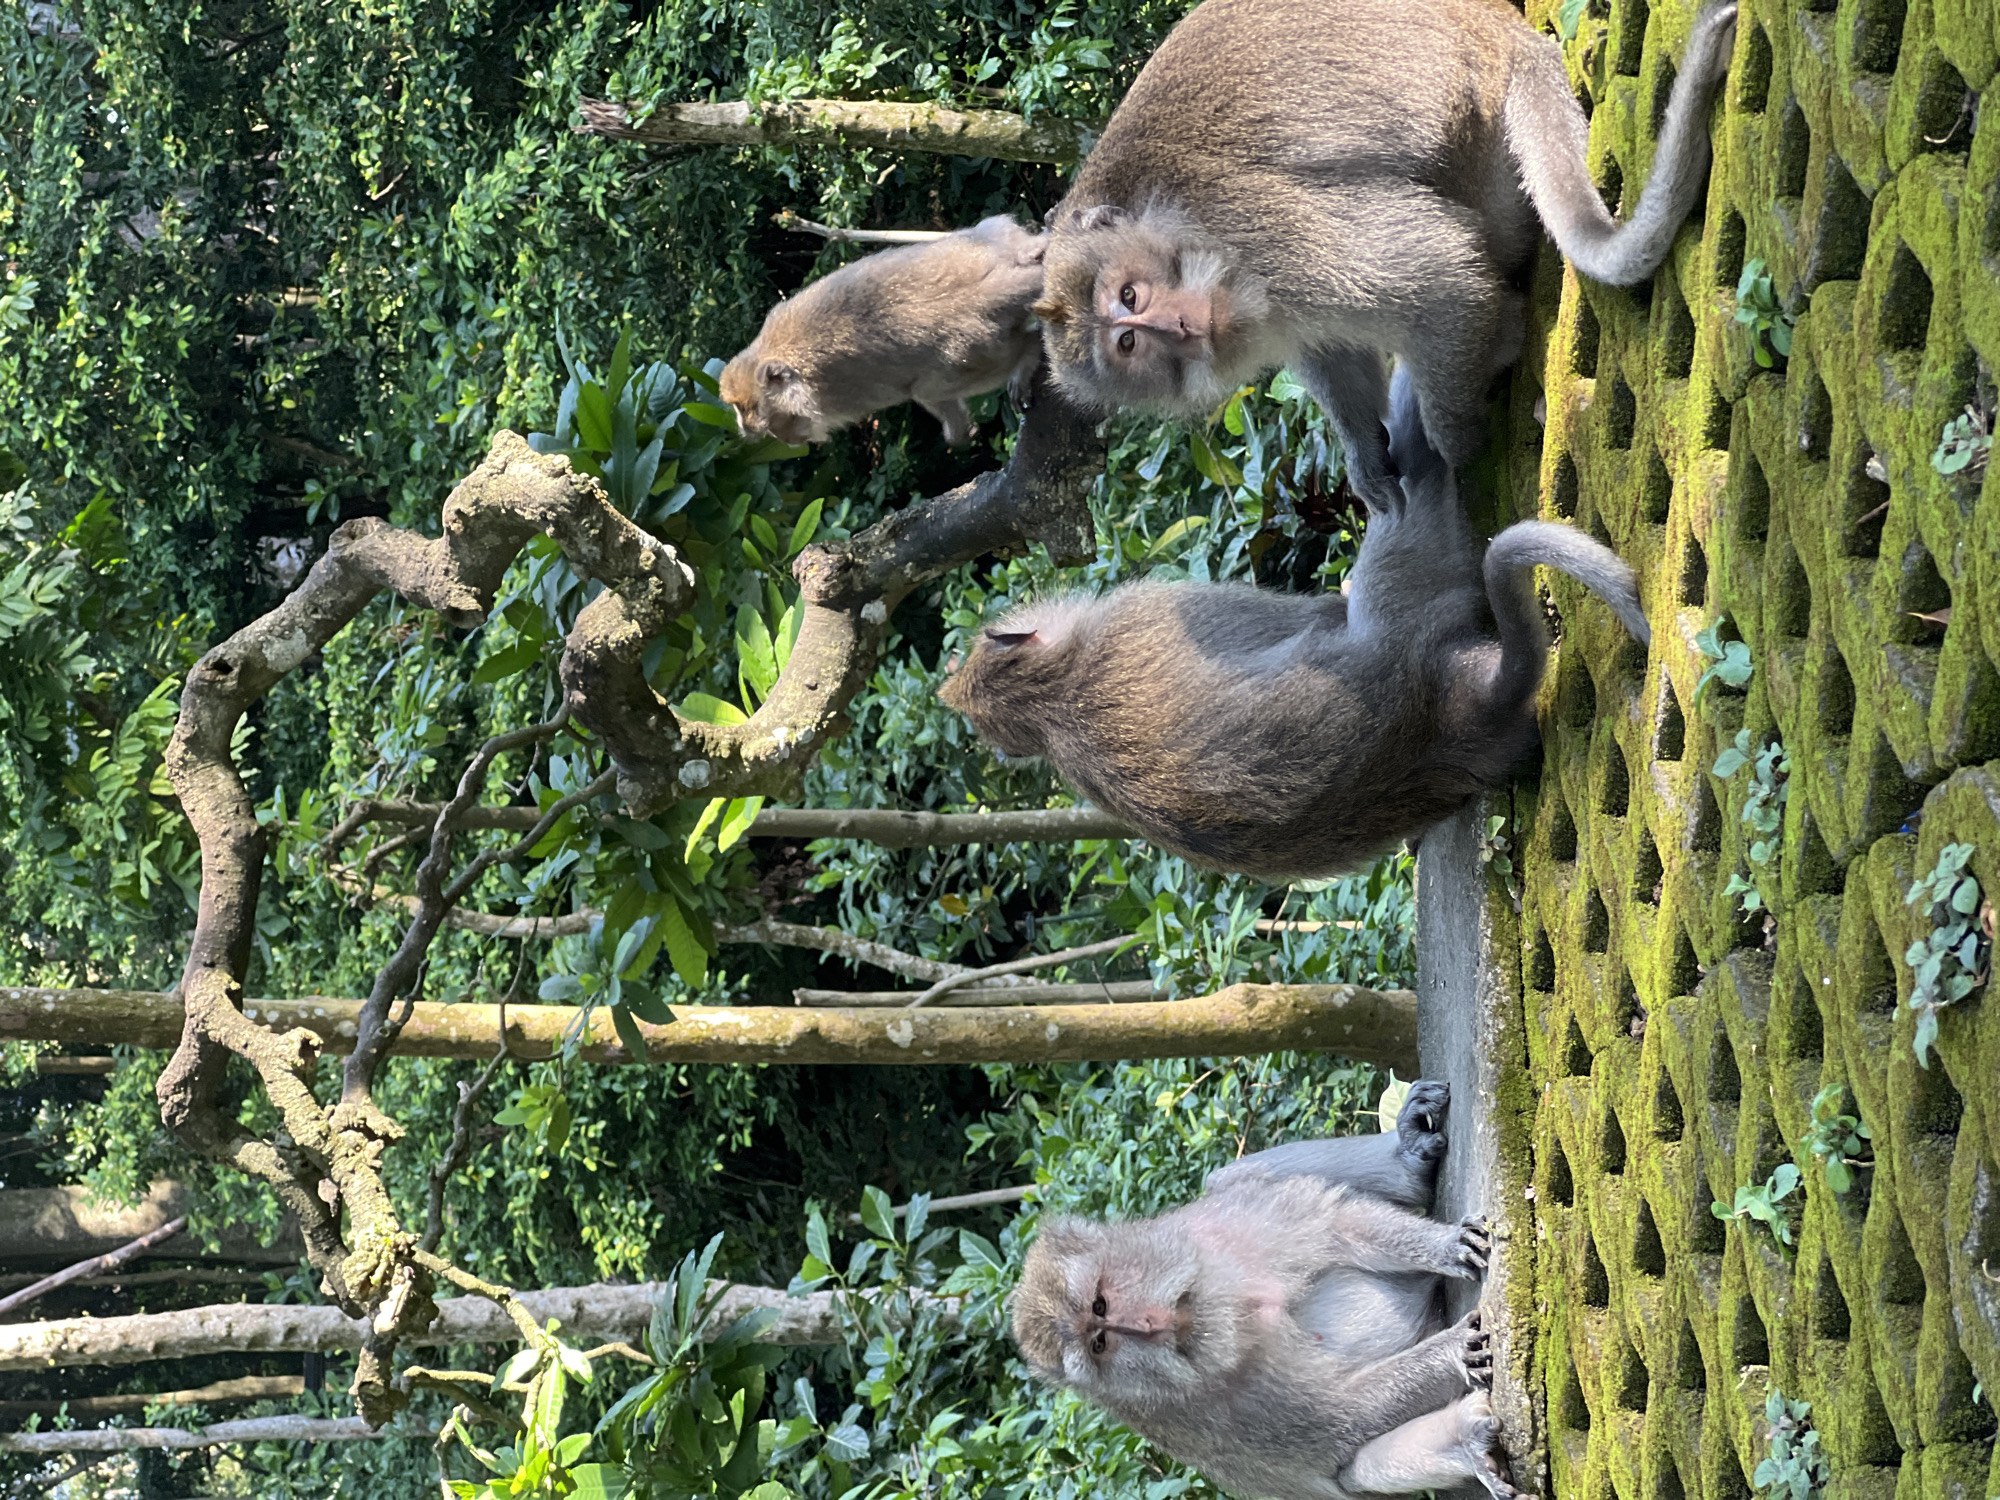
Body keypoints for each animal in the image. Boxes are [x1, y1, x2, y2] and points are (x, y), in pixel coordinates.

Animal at [719, 214, 1046, 447]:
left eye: (776, 421)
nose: (788, 441)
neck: (774, 351)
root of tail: (977, 294)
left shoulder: (832, 396)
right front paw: (961, 432)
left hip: (974, 346)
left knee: (929, 387)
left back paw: (1027, 354)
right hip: (989, 241)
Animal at [938, 366, 1650, 882]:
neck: (1051, 699)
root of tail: (1442, 713)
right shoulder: (1145, 612)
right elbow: (1316, 618)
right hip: (1415, 579)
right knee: (1408, 497)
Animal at [1012, 1079, 1523, 1500]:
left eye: (1100, 1303)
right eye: (1101, 1343)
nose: (1147, 1325)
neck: (1230, 1312)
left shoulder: (1215, 1226)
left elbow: (1332, 1223)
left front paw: (1443, 1245)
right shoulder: (1196, 1417)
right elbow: (1343, 1416)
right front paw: (1454, 1351)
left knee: (1228, 1178)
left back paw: (1406, 1160)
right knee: (1352, 1469)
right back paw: (1466, 1439)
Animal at [1030, 0, 1739, 503]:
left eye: (1129, 296)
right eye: (1129, 344)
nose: (1176, 326)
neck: (1161, 217)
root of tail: (1501, 31)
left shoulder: (1253, 227)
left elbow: (1443, 280)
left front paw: (1461, 445)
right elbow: (1328, 349)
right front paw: (1366, 457)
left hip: (1478, 132)